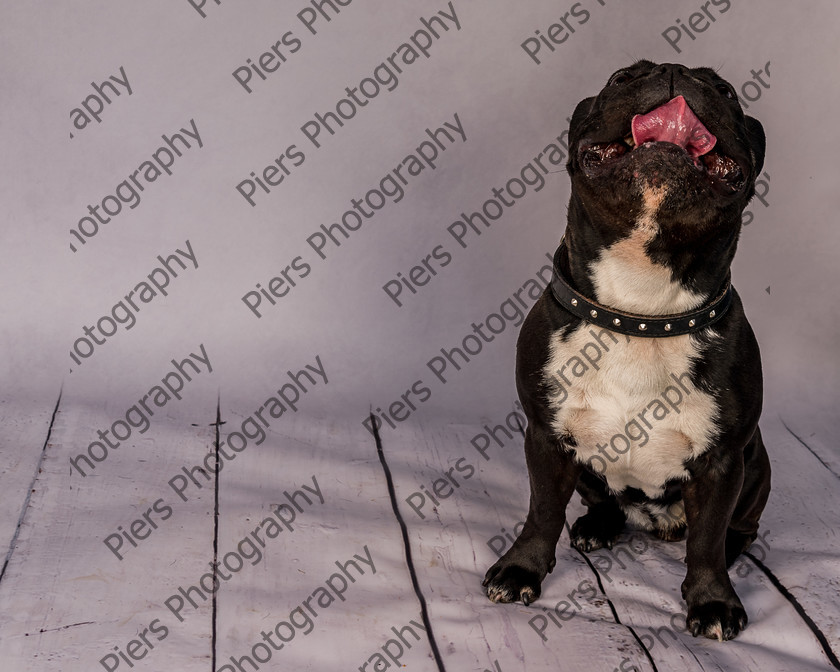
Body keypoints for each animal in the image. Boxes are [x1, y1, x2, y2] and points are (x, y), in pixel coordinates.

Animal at [482, 61, 772, 640]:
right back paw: (597, 525)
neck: (642, 308)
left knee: (738, 526)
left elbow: (707, 540)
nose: (676, 72)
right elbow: (542, 510)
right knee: (603, 502)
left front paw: (712, 600)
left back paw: (733, 549)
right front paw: (522, 568)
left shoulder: (724, 461)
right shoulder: (546, 438)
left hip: (758, 463)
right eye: (621, 78)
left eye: (727, 92)